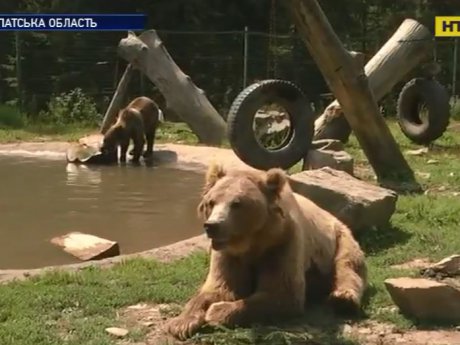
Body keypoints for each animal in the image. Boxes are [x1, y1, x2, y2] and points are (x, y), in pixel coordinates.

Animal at [165, 163, 366, 338]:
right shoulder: (228, 254)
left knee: (348, 266)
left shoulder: (282, 245)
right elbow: (219, 286)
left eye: (236, 203)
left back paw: (343, 299)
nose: (212, 226)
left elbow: (281, 293)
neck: (252, 242)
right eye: (211, 202)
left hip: (340, 238)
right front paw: (180, 323)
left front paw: (216, 311)